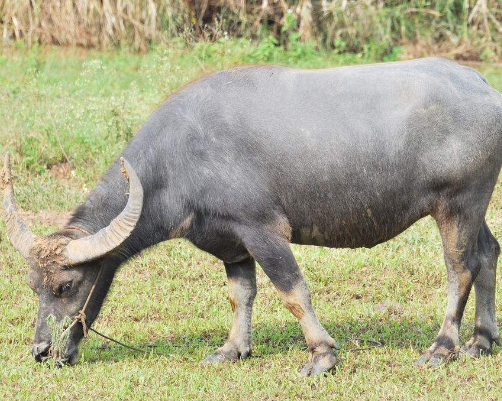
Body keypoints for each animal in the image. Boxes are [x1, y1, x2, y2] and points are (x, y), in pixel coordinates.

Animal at [3, 57, 502, 376]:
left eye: (67, 286)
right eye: (32, 286)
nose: (42, 351)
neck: (178, 161)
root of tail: (483, 88)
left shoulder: (262, 229)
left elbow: (292, 291)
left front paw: (322, 356)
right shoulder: (230, 242)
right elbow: (240, 295)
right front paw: (232, 349)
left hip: (457, 203)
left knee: (461, 268)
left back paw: (441, 349)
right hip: (476, 206)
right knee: (489, 254)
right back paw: (480, 341)